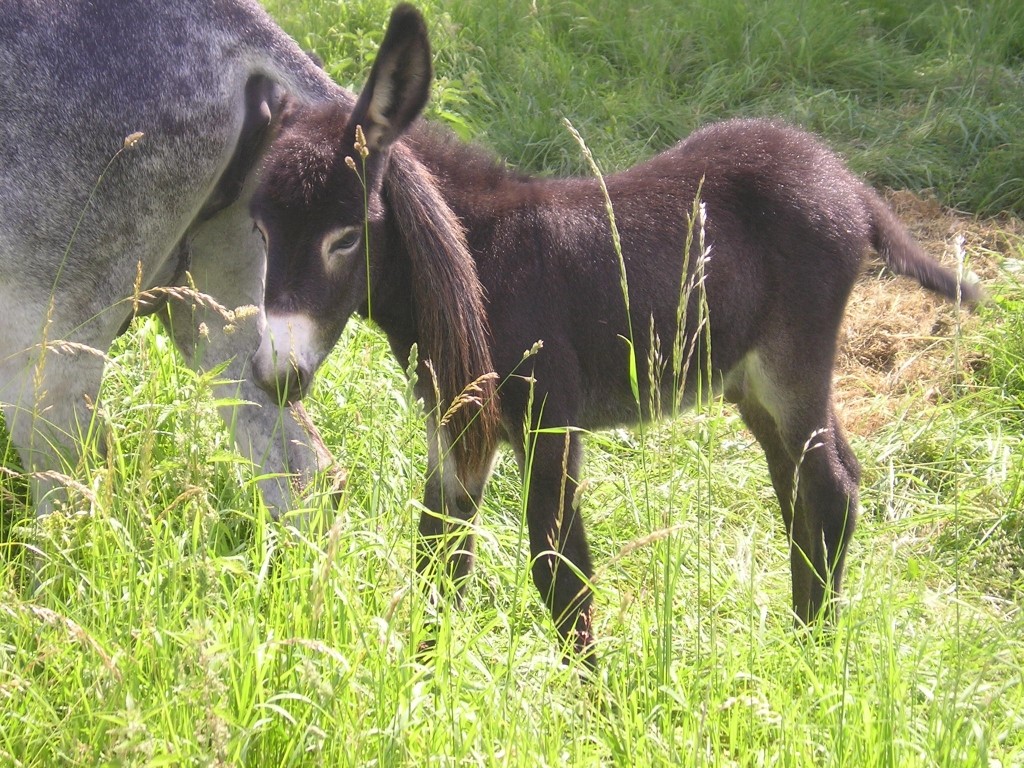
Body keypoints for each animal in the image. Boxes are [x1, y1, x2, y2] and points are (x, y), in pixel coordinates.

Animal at [247, 4, 974, 667]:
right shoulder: (455, 427)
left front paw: (595, 709)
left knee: (830, 489)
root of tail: (845, 179)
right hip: (749, 381)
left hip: (793, 363)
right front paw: (419, 687)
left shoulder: (549, 423)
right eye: (257, 230)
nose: (276, 375)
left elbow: (560, 574)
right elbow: (438, 559)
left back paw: (812, 661)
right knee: (808, 488)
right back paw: (802, 647)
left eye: (345, 238)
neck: (479, 261)